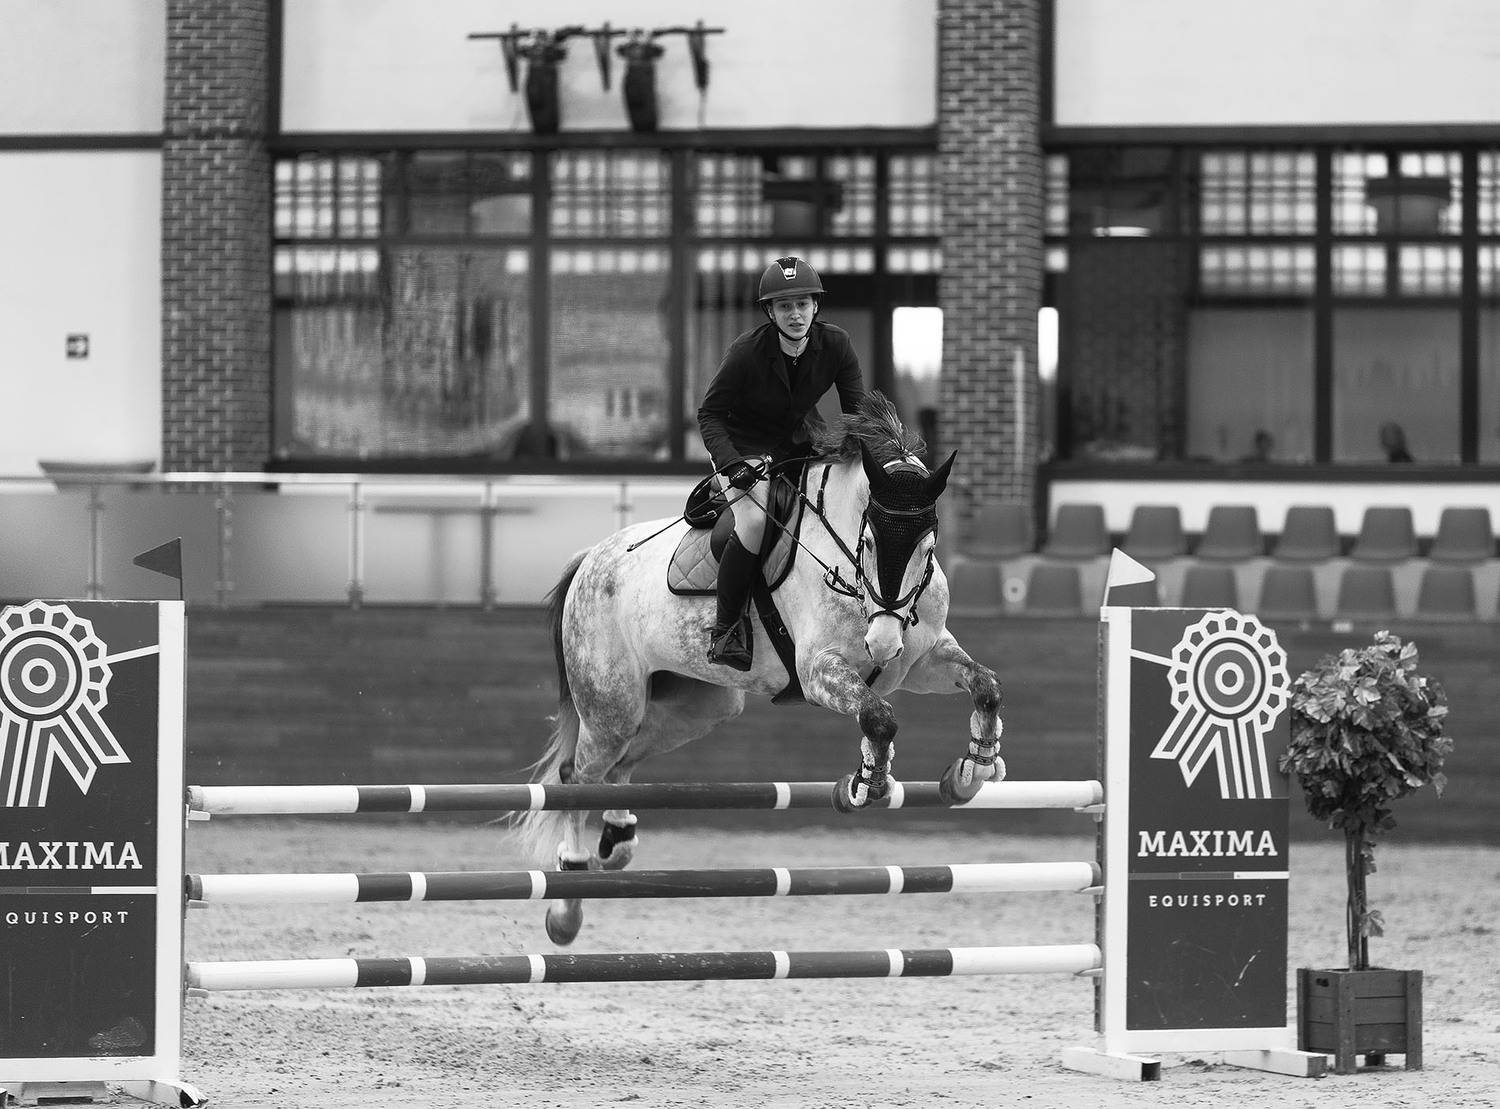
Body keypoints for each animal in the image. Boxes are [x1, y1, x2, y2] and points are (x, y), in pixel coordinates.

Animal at [513, 392, 1005, 945]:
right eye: (871, 541)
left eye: (928, 545)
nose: (881, 644)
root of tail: (590, 558)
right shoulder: (818, 672)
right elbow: (878, 716)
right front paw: (867, 782)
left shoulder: (921, 664)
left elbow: (984, 685)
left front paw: (975, 768)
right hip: (612, 707)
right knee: (577, 775)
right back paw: (568, 901)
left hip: (698, 706)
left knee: (619, 766)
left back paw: (617, 843)